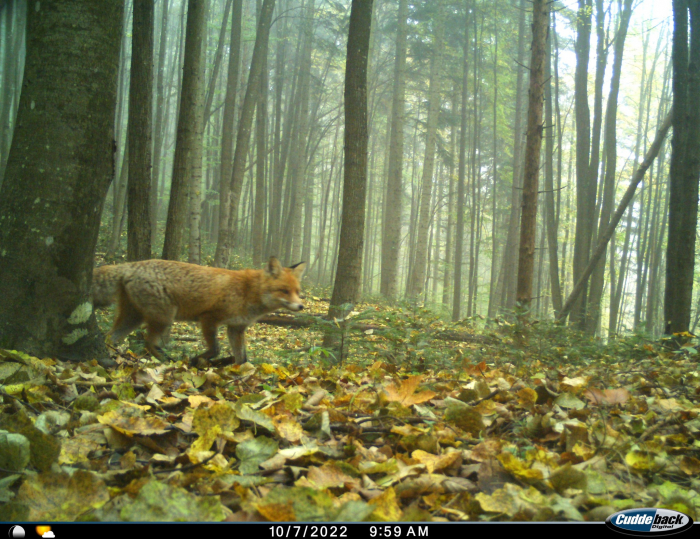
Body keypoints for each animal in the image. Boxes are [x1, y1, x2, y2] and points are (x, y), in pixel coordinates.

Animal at [91, 255, 304, 364]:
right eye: (284, 291)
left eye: (297, 291)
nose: (301, 306)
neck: (247, 291)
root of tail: (131, 264)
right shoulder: (209, 318)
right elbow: (215, 349)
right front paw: (197, 360)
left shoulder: (236, 328)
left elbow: (242, 357)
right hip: (164, 317)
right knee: (148, 343)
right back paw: (169, 360)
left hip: (134, 318)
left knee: (110, 337)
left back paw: (113, 355)